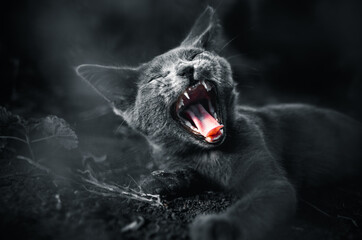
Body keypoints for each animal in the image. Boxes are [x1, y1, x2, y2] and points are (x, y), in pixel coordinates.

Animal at [75, 6, 360, 240]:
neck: (211, 154)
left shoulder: (272, 183)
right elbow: (168, 175)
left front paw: (218, 226)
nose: (186, 69)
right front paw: (165, 178)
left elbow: (255, 204)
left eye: (194, 56)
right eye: (156, 77)